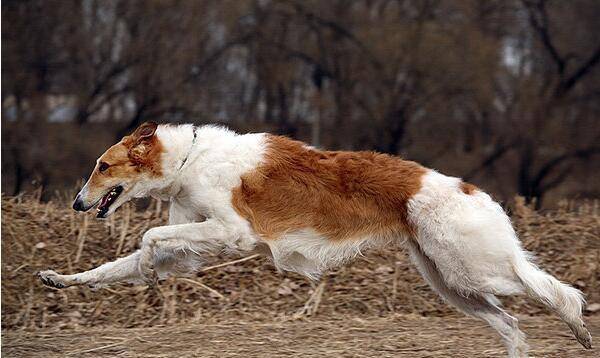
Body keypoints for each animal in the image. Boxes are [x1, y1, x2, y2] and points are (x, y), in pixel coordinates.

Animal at [37, 121, 592, 356]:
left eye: (102, 166)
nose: (78, 204)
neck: (189, 159)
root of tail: (471, 190)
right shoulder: (196, 242)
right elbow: (114, 267)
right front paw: (59, 279)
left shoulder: (232, 232)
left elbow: (151, 235)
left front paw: (150, 269)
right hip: (451, 283)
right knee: (512, 324)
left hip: (476, 268)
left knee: (555, 291)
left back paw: (578, 327)